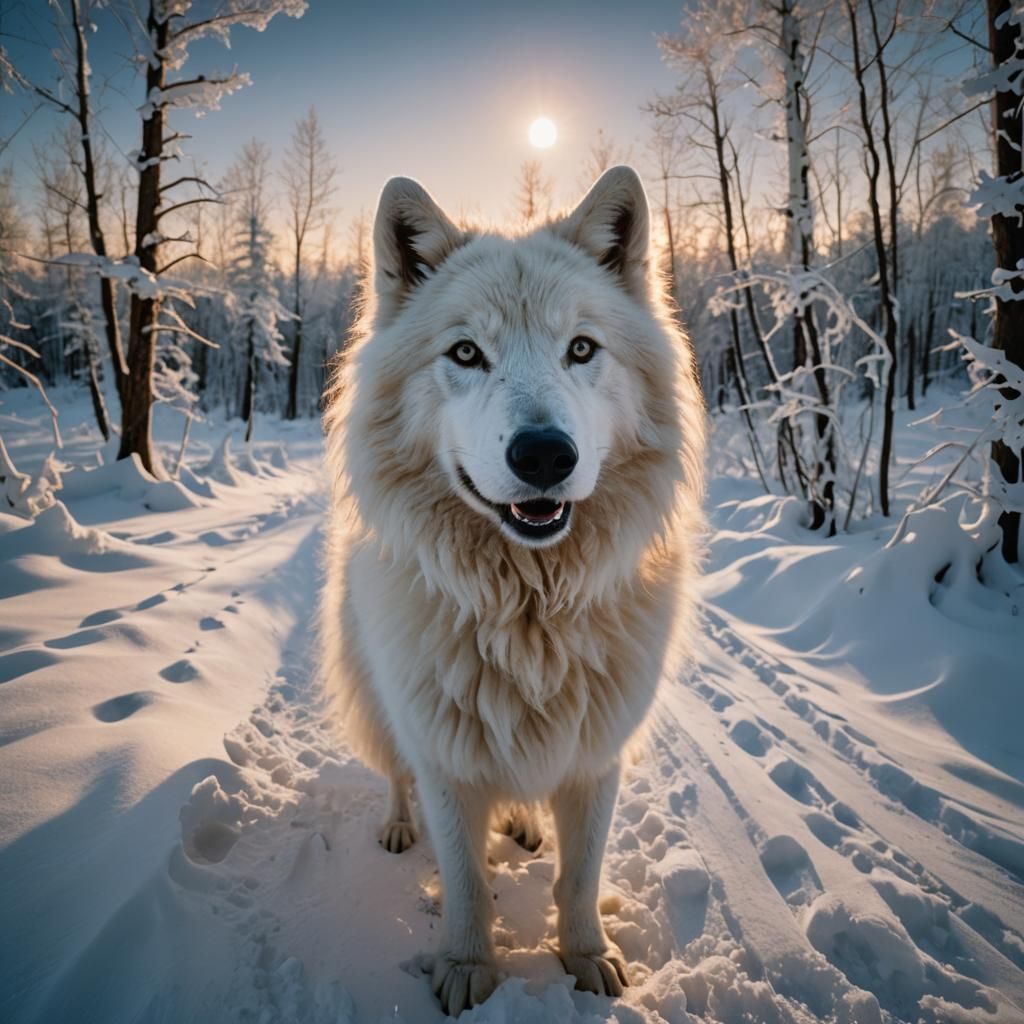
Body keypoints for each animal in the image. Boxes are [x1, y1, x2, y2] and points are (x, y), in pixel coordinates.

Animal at [321, 165, 705, 1015]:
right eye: (466, 352)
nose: (544, 456)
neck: (529, 610)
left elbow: (579, 877)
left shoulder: (596, 755)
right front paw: (468, 970)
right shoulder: (444, 758)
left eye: (581, 349)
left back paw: (526, 824)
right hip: (380, 698)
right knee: (392, 772)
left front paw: (587, 957)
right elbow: (466, 882)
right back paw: (398, 828)